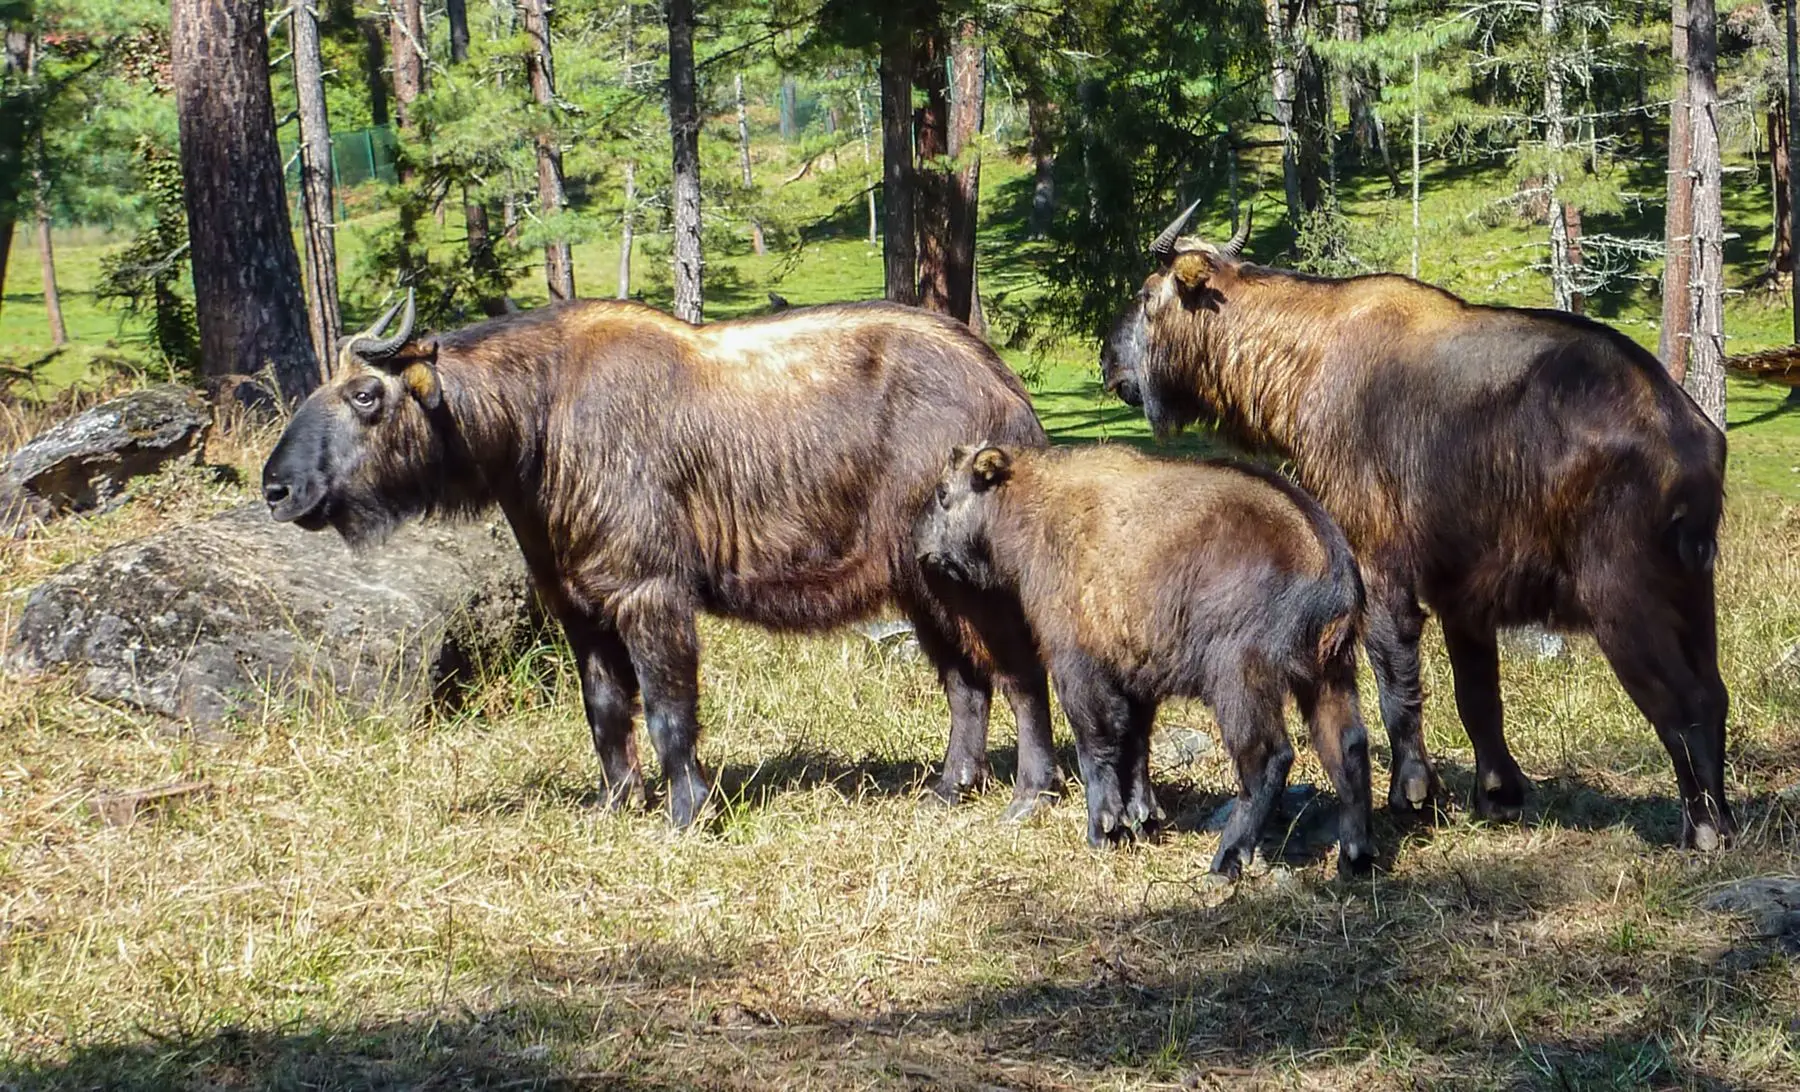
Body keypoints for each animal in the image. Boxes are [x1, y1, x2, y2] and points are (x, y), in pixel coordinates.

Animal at [261, 295, 1058, 823]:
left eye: (366, 394)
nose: (276, 488)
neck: (542, 419)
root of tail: (1009, 390)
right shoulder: (581, 607)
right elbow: (607, 713)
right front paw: (616, 805)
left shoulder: (650, 594)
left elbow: (670, 712)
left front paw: (688, 812)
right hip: (921, 587)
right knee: (967, 685)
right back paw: (950, 789)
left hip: (967, 584)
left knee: (1021, 675)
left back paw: (1031, 792)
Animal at [921, 444, 1368, 881]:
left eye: (943, 492)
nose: (919, 543)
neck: (1036, 510)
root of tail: (1333, 564)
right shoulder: (1136, 677)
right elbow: (1135, 746)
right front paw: (1142, 820)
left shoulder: (1078, 667)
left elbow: (1097, 745)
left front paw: (1104, 829)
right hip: (1330, 677)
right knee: (1348, 748)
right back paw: (1356, 854)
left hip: (1240, 679)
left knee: (1267, 759)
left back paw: (1226, 860)